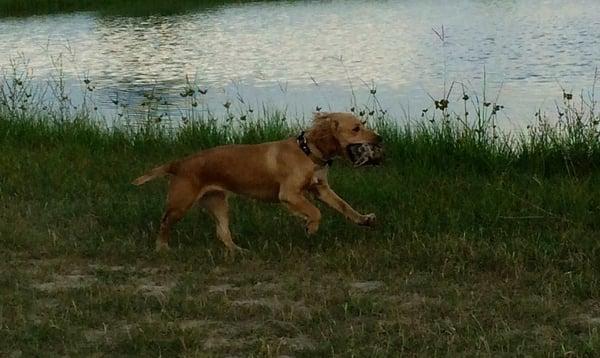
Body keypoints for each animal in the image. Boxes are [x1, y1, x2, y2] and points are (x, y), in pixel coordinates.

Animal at [134, 112, 382, 252]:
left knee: (222, 233)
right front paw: (310, 226)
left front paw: (364, 219)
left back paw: (238, 251)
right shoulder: (289, 194)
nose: (380, 138)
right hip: (180, 203)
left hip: (217, 202)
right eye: (356, 128)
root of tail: (179, 163)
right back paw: (162, 248)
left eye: (362, 124)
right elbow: (315, 211)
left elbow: (344, 206)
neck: (307, 152)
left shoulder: (321, 189)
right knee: (164, 223)